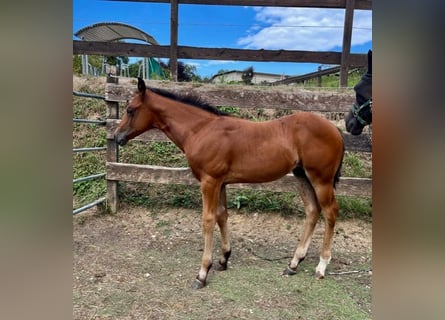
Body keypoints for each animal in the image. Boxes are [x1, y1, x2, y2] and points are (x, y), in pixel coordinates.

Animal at [113, 79, 344, 288]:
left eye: (130, 110)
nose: (116, 137)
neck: (201, 130)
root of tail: (335, 130)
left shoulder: (209, 181)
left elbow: (208, 220)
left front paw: (202, 273)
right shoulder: (221, 183)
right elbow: (222, 215)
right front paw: (224, 259)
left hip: (321, 179)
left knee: (330, 212)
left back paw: (321, 266)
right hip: (301, 175)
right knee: (312, 210)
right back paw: (294, 264)